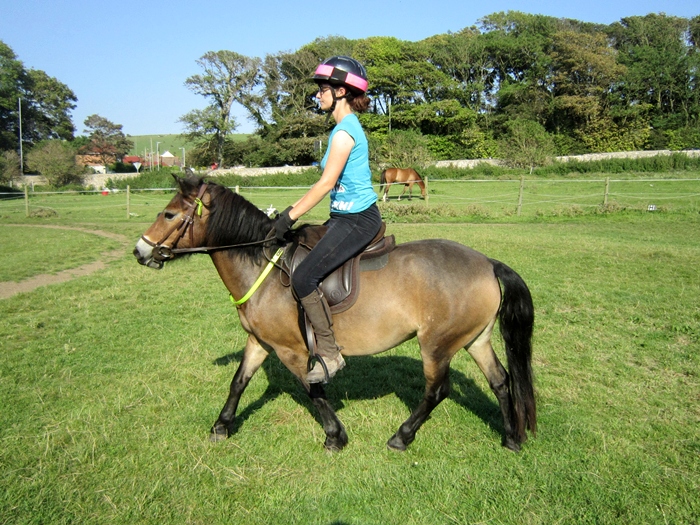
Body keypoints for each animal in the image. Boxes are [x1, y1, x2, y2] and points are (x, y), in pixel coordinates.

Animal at [133, 174, 536, 452]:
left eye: (169, 214)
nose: (140, 251)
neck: (263, 269)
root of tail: (486, 263)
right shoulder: (259, 341)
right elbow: (238, 382)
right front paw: (221, 426)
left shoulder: (292, 350)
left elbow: (313, 390)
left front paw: (335, 436)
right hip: (475, 339)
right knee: (500, 381)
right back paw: (511, 438)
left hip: (436, 346)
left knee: (438, 390)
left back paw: (401, 437)